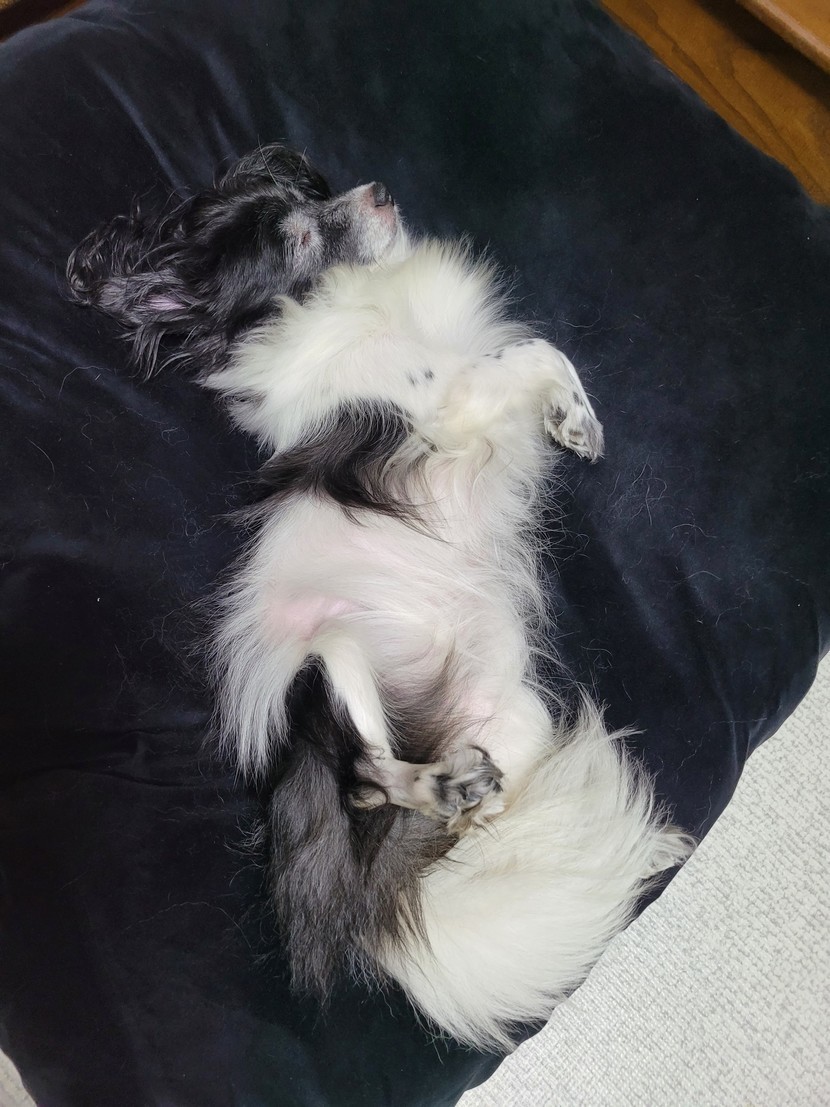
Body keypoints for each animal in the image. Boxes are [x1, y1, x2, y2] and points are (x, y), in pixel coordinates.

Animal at [67, 144, 693, 1050]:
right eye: (297, 239)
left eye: (310, 189)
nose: (380, 193)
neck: (368, 302)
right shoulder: (443, 395)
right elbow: (532, 351)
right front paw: (576, 422)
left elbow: (544, 352)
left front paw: (575, 421)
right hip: (329, 660)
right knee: (366, 772)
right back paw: (441, 786)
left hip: (516, 717)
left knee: (463, 814)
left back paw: (493, 802)